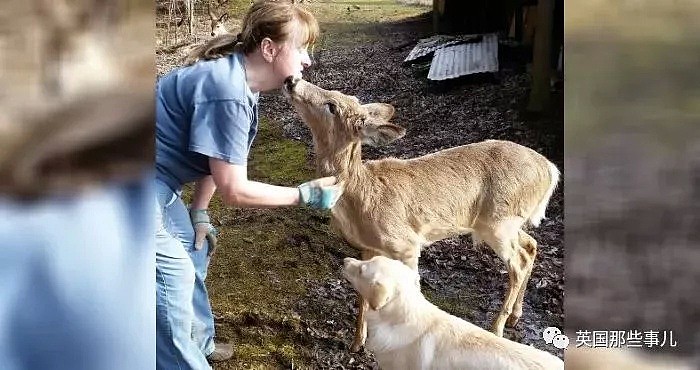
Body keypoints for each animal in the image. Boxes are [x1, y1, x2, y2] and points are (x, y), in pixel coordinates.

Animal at [282, 76, 560, 352]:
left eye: (332, 106)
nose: (291, 79)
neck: (361, 195)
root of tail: (551, 169)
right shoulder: (368, 248)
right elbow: (362, 295)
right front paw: (357, 343)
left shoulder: (406, 244)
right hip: (506, 223)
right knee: (530, 246)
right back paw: (515, 316)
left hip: (498, 223)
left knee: (518, 264)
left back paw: (497, 329)